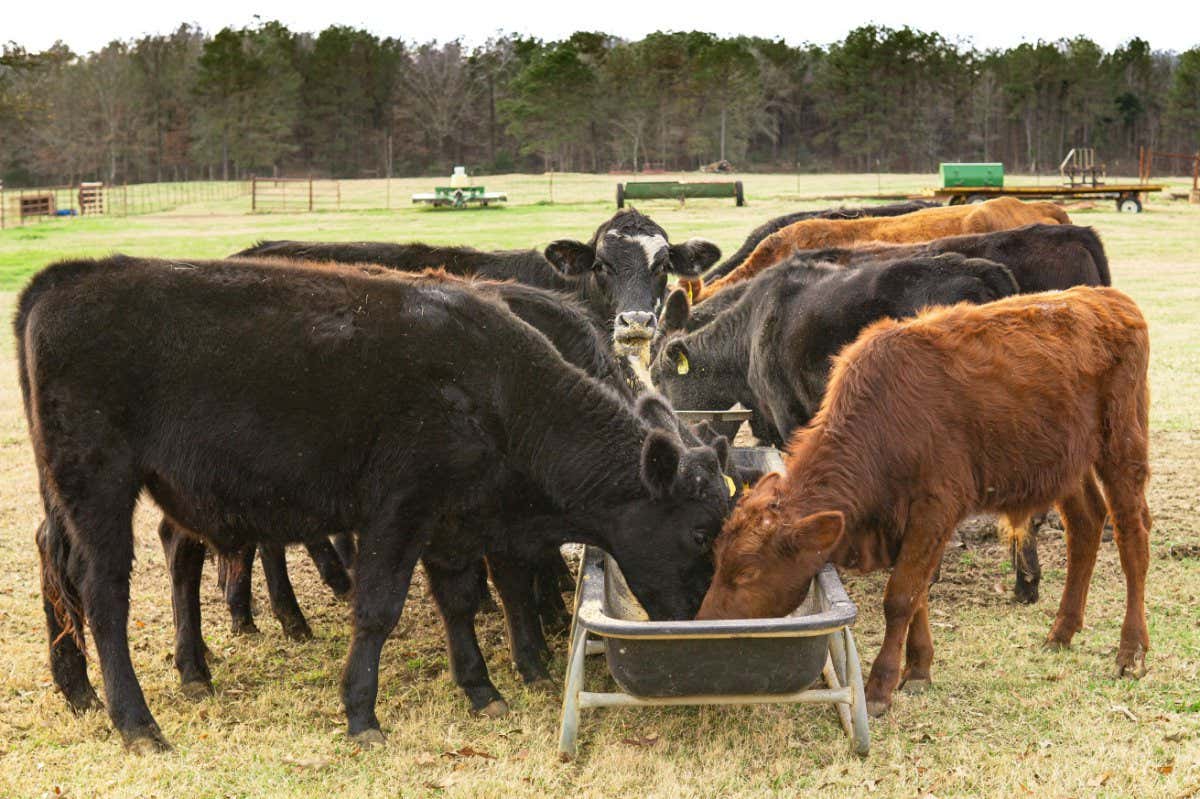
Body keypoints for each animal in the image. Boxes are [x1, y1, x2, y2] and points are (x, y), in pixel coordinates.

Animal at [20, 256, 732, 751]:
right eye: (701, 532)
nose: (702, 617)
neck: (495, 386)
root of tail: (61, 280)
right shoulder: (399, 511)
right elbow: (378, 610)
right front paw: (362, 713)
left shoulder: (453, 521)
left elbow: (460, 602)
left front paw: (482, 689)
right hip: (99, 488)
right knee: (103, 593)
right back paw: (137, 721)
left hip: (93, 494)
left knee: (75, 561)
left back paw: (97, 686)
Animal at [697, 287, 1151, 721]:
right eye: (718, 559)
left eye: (747, 572)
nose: (706, 622)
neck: (887, 420)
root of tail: (1110, 300)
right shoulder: (905, 525)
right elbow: (917, 598)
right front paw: (918, 668)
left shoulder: (934, 511)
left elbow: (900, 597)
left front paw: (880, 687)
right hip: (1067, 465)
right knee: (1086, 526)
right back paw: (1062, 632)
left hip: (1121, 447)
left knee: (1132, 537)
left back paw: (1130, 651)